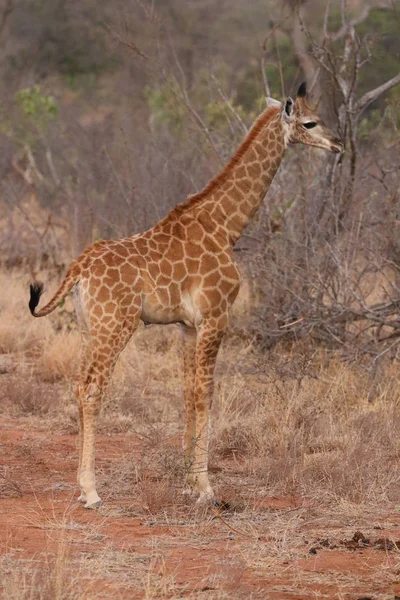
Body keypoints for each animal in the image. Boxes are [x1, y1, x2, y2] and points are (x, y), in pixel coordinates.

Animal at [28, 82, 342, 508]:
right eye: (310, 122)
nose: (338, 143)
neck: (226, 227)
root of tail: (78, 268)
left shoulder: (188, 326)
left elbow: (188, 393)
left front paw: (188, 483)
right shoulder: (216, 316)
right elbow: (205, 393)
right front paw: (206, 488)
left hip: (87, 327)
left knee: (78, 385)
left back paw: (81, 486)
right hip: (115, 326)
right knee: (92, 390)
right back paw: (91, 490)